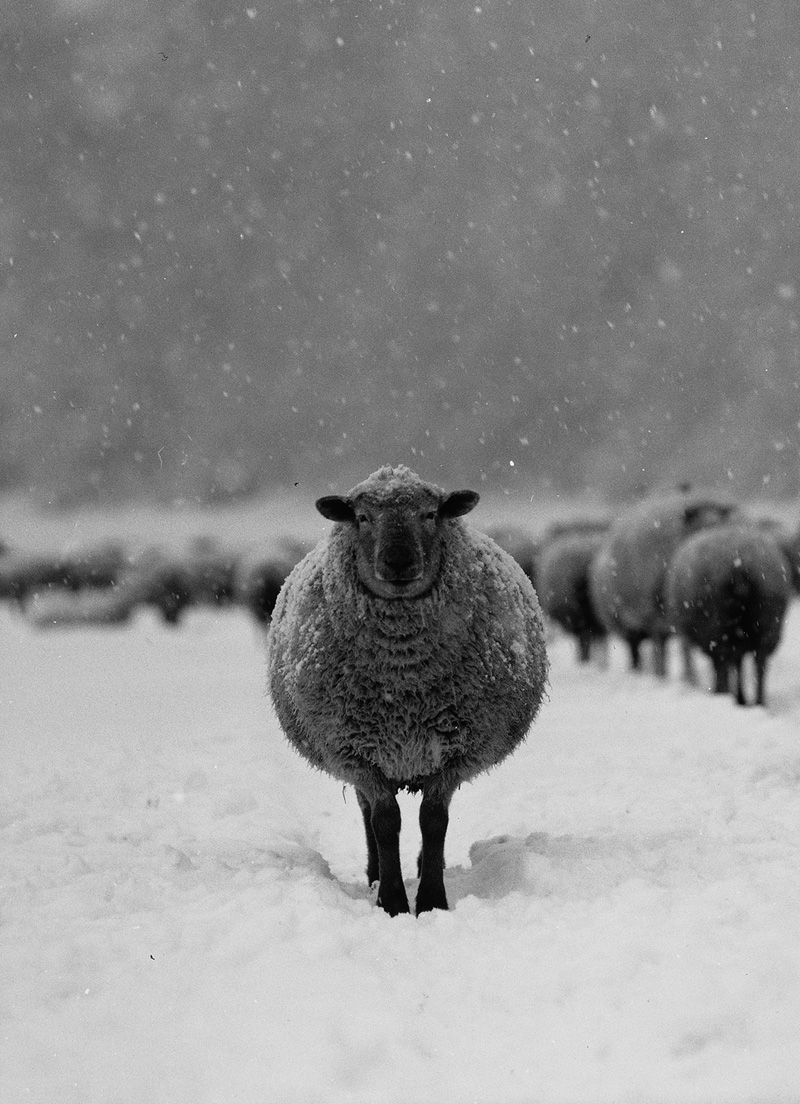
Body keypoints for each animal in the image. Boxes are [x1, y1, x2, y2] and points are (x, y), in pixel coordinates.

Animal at [266, 464, 548, 917]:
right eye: (362, 517)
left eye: (430, 514)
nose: (398, 561)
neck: (404, 683)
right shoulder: (359, 751)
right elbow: (384, 823)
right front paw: (393, 901)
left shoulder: (452, 749)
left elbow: (433, 822)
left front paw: (432, 898)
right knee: (366, 813)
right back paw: (375, 874)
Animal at [589, 490, 739, 676]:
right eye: (702, 527)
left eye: (724, 524)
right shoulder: (657, 615)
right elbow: (673, 648)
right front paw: (684, 676)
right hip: (628, 622)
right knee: (639, 649)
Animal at [665, 523, 791, 706]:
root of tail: (739, 563)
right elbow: (738, 664)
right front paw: (741, 697)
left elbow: (722, 665)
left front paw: (732, 695)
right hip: (768, 622)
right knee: (760, 662)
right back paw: (759, 702)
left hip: (717, 623)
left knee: (723, 661)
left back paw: (723, 695)